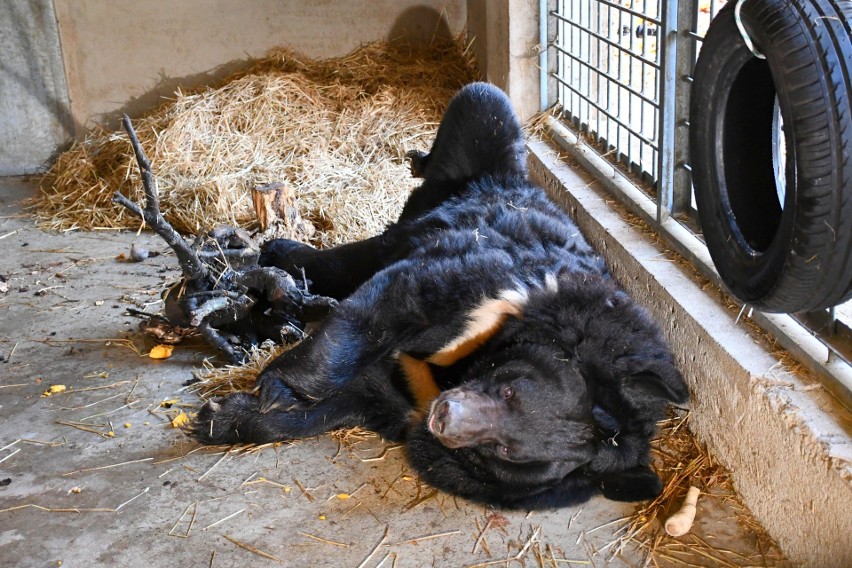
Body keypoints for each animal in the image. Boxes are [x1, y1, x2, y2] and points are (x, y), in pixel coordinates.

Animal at [191, 83, 684, 510]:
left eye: (505, 451)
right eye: (510, 390)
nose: (444, 416)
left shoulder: (403, 399)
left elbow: (355, 402)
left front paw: (225, 416)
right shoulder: (484, 278)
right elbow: (381, 309)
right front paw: (273, 390)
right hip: (480, 144)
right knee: (479, 105)